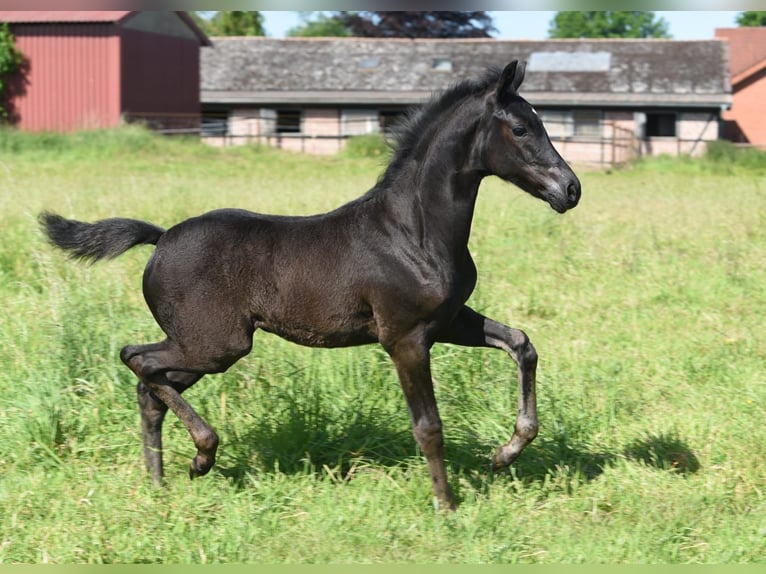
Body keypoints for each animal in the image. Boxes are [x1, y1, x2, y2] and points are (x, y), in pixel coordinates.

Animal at [40, 62, 584, 512]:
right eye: (521, 128)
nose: (571, 189)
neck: (414, 230)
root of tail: (161, 236)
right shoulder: (404, 338)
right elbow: (428, 426)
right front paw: (446, 506)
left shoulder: (447, 320)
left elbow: (521, 344)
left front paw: (505, 453)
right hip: (214, 344)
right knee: (136, 358)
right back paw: (201, 455)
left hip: (205, 346)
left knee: (150, 387)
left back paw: (161, 483)